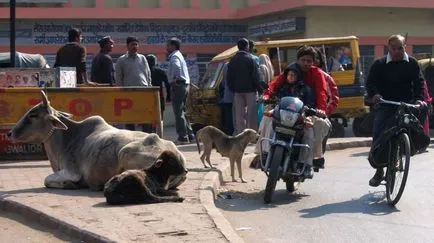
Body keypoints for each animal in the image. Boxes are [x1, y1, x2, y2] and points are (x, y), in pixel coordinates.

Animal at [6, 90, 186, 191]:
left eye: (33, 115)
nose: (10, 133)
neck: (68, 138)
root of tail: (178, 158)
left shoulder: (72, 172)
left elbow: (47, 180)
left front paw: (69, 184)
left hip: (125, 153)